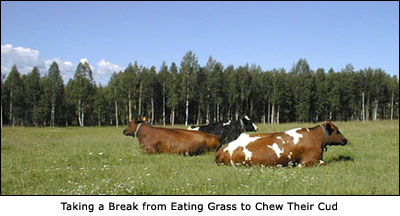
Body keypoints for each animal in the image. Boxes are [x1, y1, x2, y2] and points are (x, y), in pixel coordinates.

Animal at [214, 120, 348, 167]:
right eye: (337, 130)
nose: (345, 140)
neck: (315, 138)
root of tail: (222, 148)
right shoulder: (309, 160)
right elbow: (323, 163)